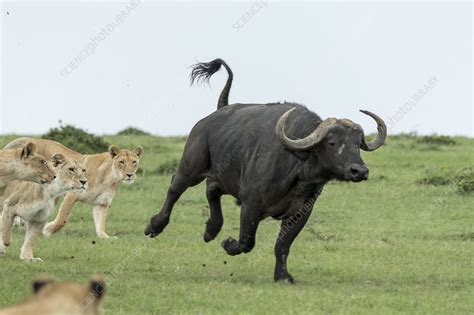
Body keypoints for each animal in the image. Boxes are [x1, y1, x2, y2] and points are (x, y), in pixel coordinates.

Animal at [144, 58, 386, 282]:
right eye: (332, 143)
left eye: (357, 144)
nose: (359, 171)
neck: (296, 170)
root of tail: (214, 115)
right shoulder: (250, 204)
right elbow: (246, 241)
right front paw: (228, 243)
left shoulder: (300, 213)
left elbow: (283, 245)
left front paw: (282, 275)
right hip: (192, 166)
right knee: (175, 188)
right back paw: (155, 226)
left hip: (219, 176)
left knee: (211, 191)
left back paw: (210, 230)